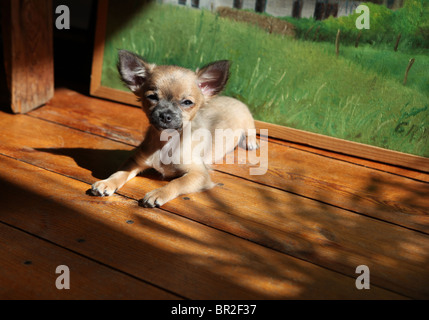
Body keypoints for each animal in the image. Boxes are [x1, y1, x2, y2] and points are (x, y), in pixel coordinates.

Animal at [90, 48, 258, 206]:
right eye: (152, 97)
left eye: (187, 102)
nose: (165, 115)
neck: (167, 143)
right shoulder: (135, 161)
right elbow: (120, 172)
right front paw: (107, 182)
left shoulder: (199, 174)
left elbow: (177, 182)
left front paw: (158, 193)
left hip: (247, 121)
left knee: (251, 131)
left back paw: (250, 142)